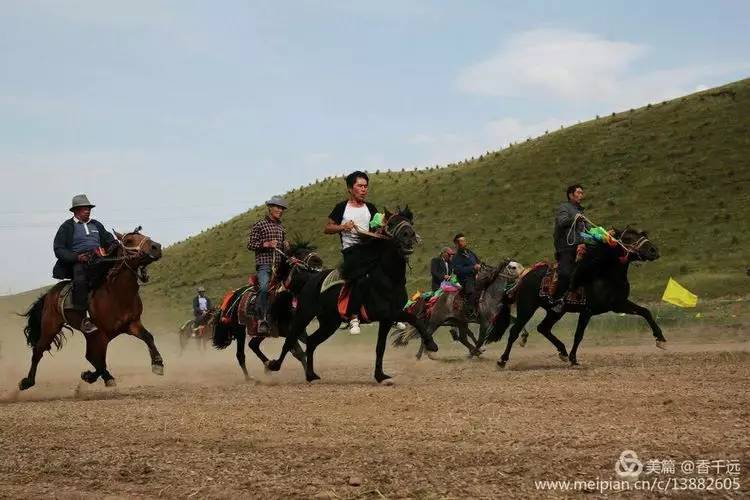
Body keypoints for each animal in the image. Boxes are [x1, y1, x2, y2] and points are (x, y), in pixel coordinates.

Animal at [18, 228, 164, 390]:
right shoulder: (101, 335)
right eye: (128, 241)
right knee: (38, 351)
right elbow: (99, 361)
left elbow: (148, 337)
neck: (117, 294)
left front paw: (158, 364)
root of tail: (50, 293)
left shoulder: (132, 324)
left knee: (91, 357)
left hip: (88, 334)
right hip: (51, 327)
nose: (156, 247)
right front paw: (89, 376)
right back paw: (27, 382)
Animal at [214, 241, 326, 378]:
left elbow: (304, 346)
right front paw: (309, 375)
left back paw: (267, 365)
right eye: (299, 253)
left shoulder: (298, 328)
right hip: (240, 330)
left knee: (253, 345)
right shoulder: (286, 329)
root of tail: (234, 295)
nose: (317, 261)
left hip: (262, 331)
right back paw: (251, 378)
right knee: (240, 355)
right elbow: (298, 352)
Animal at [268, 207, 440, 382]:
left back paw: (311, 375)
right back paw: (273, 365)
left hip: (330, 323)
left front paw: (380, 375)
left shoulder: (387, 320)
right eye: (391, 223)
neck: (389, 279)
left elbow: (381, 347)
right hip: (304, 315)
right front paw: (431, 344)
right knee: (290, 340)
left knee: (311, 342)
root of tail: (311, 277)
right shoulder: (387, 313)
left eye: (410, 222)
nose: (409, 235)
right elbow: (414, 319)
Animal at [390, 258, 524, 360]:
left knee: (463, 338)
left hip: (460, 322)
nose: (524, 273)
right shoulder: (484, 322)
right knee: (427, 336)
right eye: (513, 267)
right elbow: (480, 339)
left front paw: (523, 338)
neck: (491, 296)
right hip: (436, 321)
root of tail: (438, 298)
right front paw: (474, 353)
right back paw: (420, 356)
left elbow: (517, 322)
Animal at [490, 227, 668, 368]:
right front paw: (574, 358)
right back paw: (502, 360)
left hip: (555, 311)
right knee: (515, 331)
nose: (653, 250)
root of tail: (524, 275)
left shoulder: (619, 304)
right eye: (628, 239)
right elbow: (579, 335)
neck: (603, 274)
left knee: (543, 328)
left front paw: (660, 339)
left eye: (641, 234)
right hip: (527, 307)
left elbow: (645, 312)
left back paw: (562, 351)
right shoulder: (588, 311)